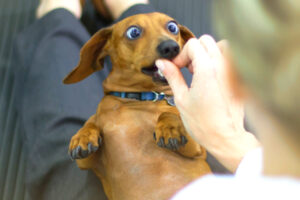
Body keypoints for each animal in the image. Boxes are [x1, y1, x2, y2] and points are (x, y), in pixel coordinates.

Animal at [63, 12, 211, 200]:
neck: (140, 99)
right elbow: (90, 123)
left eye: (172, 27)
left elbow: (168, 114)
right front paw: (83, 135)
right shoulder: (87, 161)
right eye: (133, 32)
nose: (171, 47)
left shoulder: (196, 149)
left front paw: (170, 127)